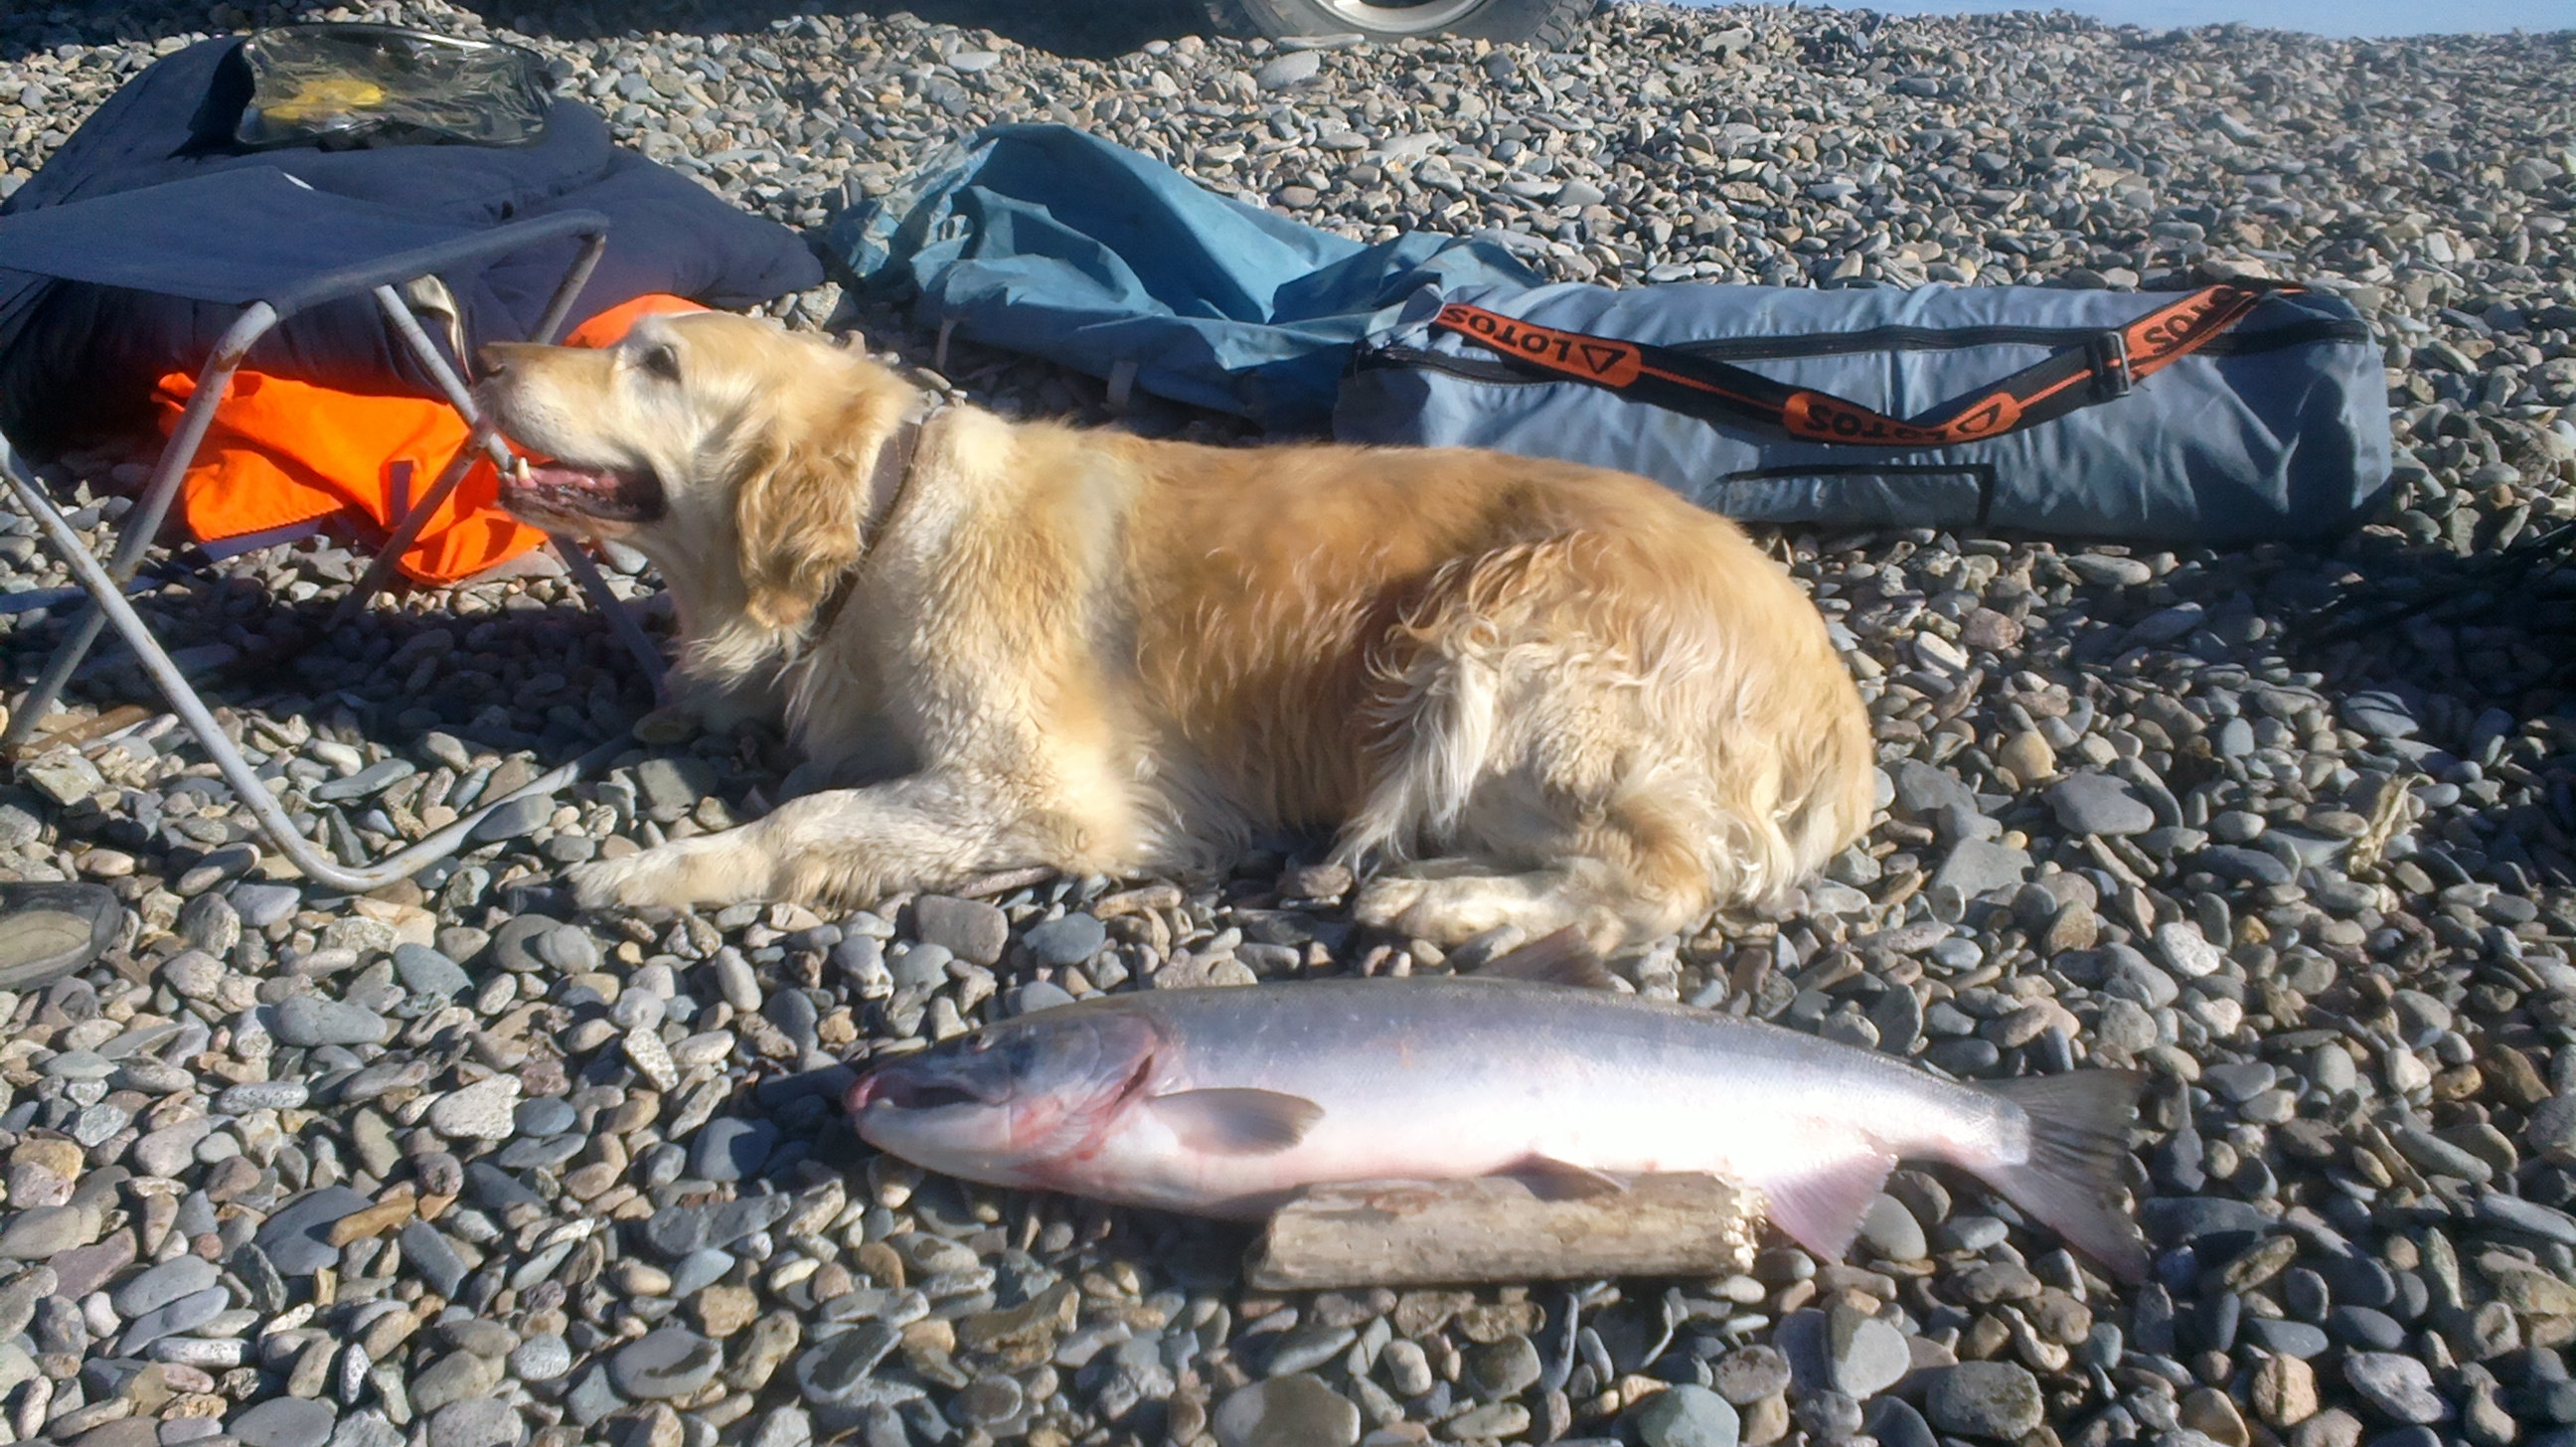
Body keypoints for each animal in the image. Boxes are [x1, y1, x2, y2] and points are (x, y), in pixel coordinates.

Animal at [477, 312, 1875, 949]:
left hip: (1488, 643)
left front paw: (650, 869)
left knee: (1664, 879)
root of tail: (1835, 703)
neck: (889, 512)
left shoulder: (1039, 787)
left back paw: (1444, 902)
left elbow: (806, 820)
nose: (483, 355)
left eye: (656, 362)